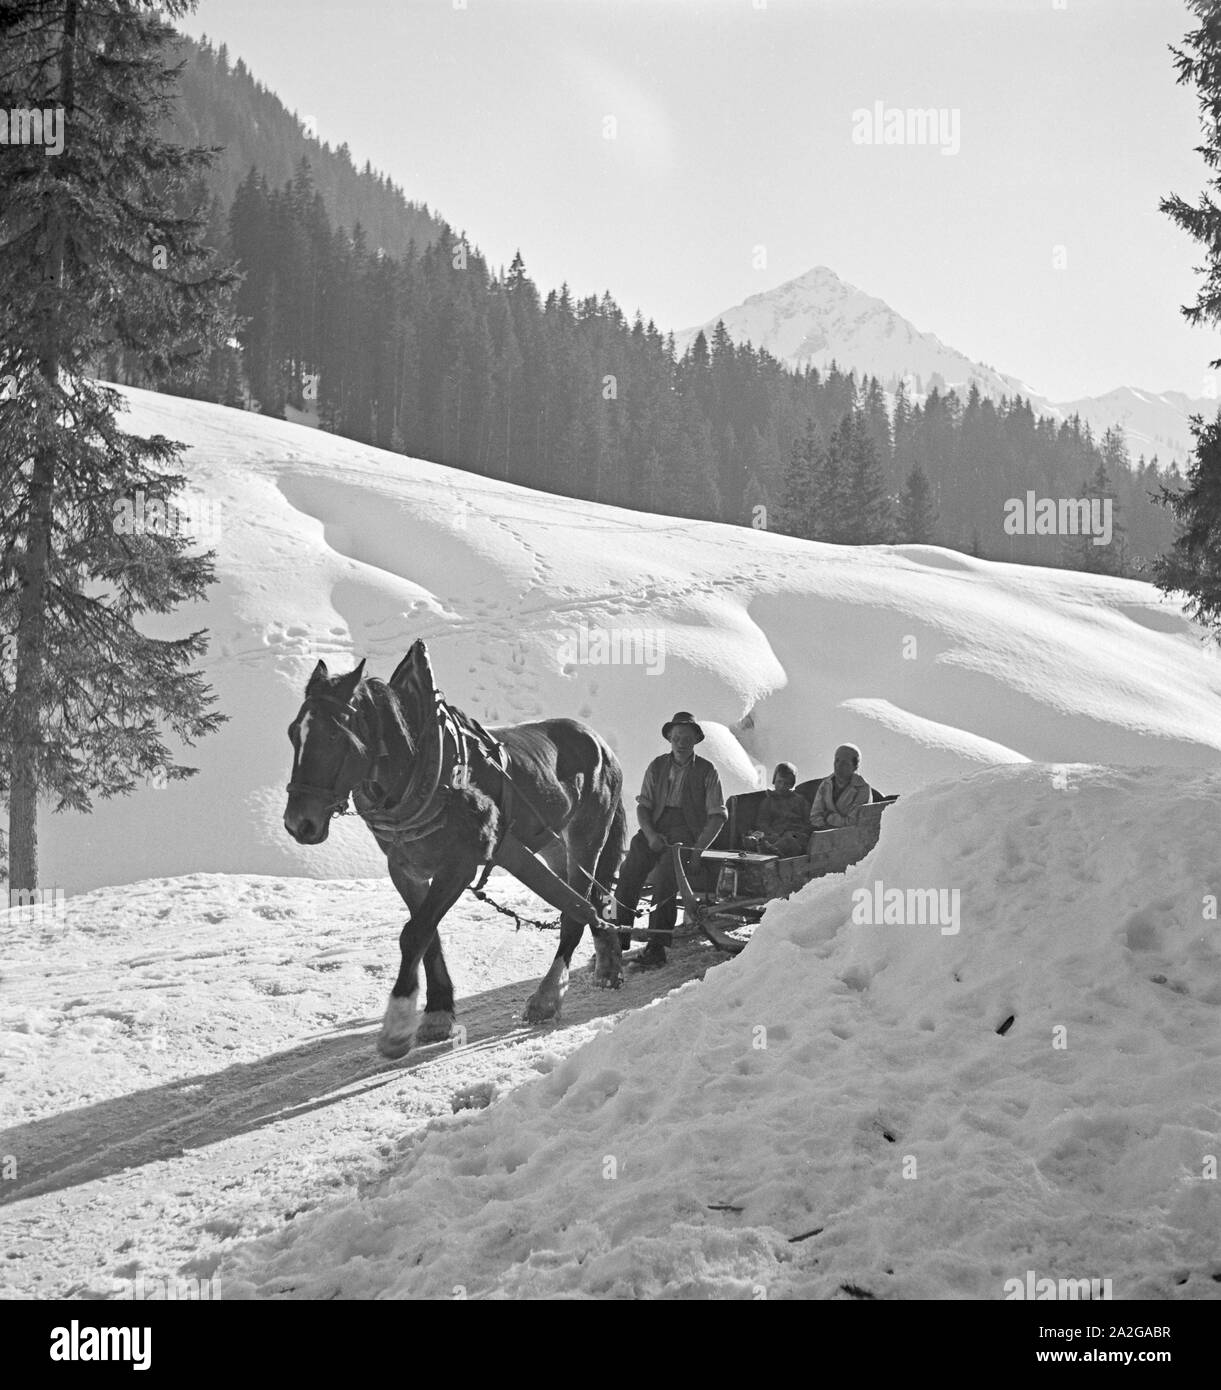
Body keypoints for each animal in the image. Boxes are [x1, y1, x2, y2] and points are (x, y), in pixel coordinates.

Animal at [285, 636, 631, 1050]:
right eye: (293, 732)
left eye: (336, 735)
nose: (298, 823)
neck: (422, 767)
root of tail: (602, 745)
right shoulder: (405, 869)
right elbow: (427, 934)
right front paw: (437, 1013)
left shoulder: (460, 864)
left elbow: (414, 933)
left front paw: (398, 1023)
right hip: (552, 845)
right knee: (592, 900)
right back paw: (608, 961)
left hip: (586, 834)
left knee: (576, 910)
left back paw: (547, 997)